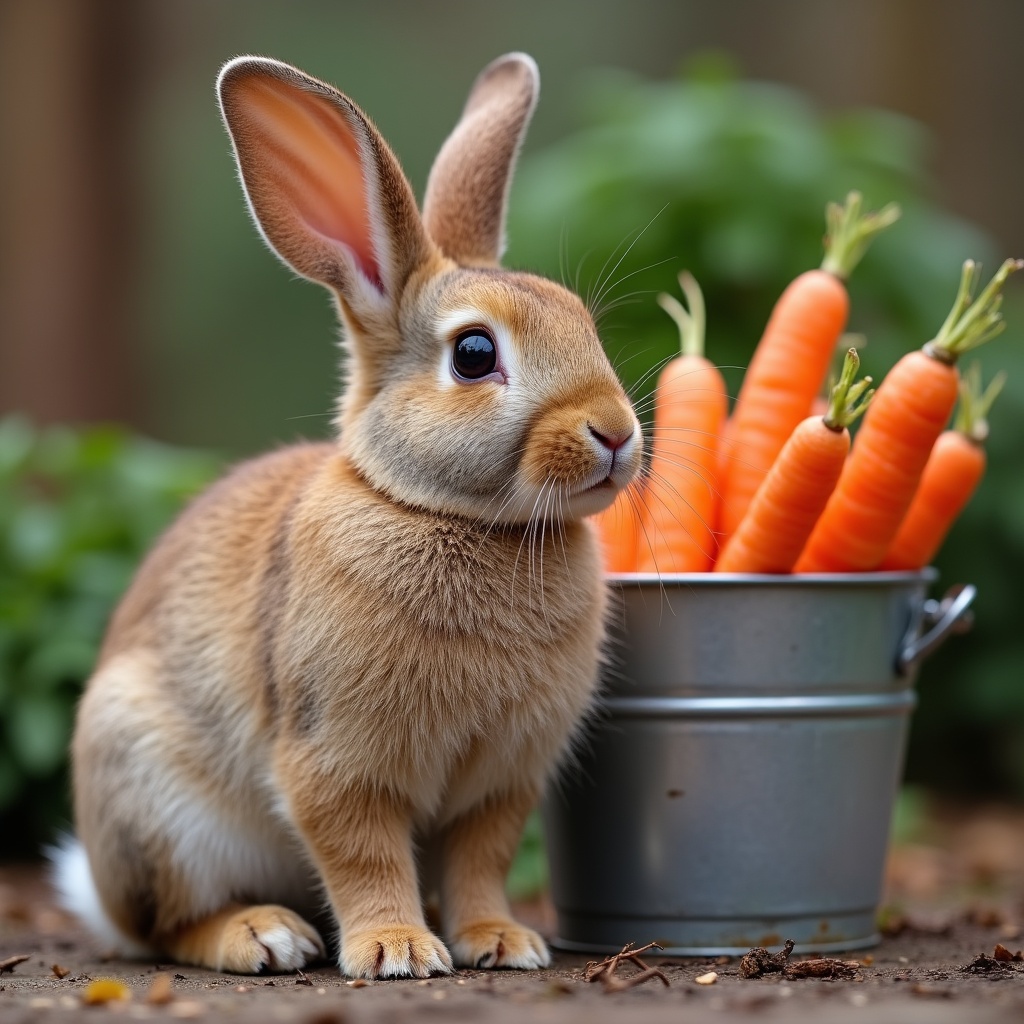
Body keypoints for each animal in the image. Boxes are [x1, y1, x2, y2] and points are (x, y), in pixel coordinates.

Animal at [52, 52, 642, 980]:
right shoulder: (335, 760)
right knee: (168, 923)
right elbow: (364, 854)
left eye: (584, 324)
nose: (616, 433)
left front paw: (500, 942)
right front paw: (398, 950)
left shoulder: (500, 783)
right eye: (475, 354)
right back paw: (264, 936)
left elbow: (480, 861)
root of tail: (98, 894)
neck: (451, 513)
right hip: (154, 802)